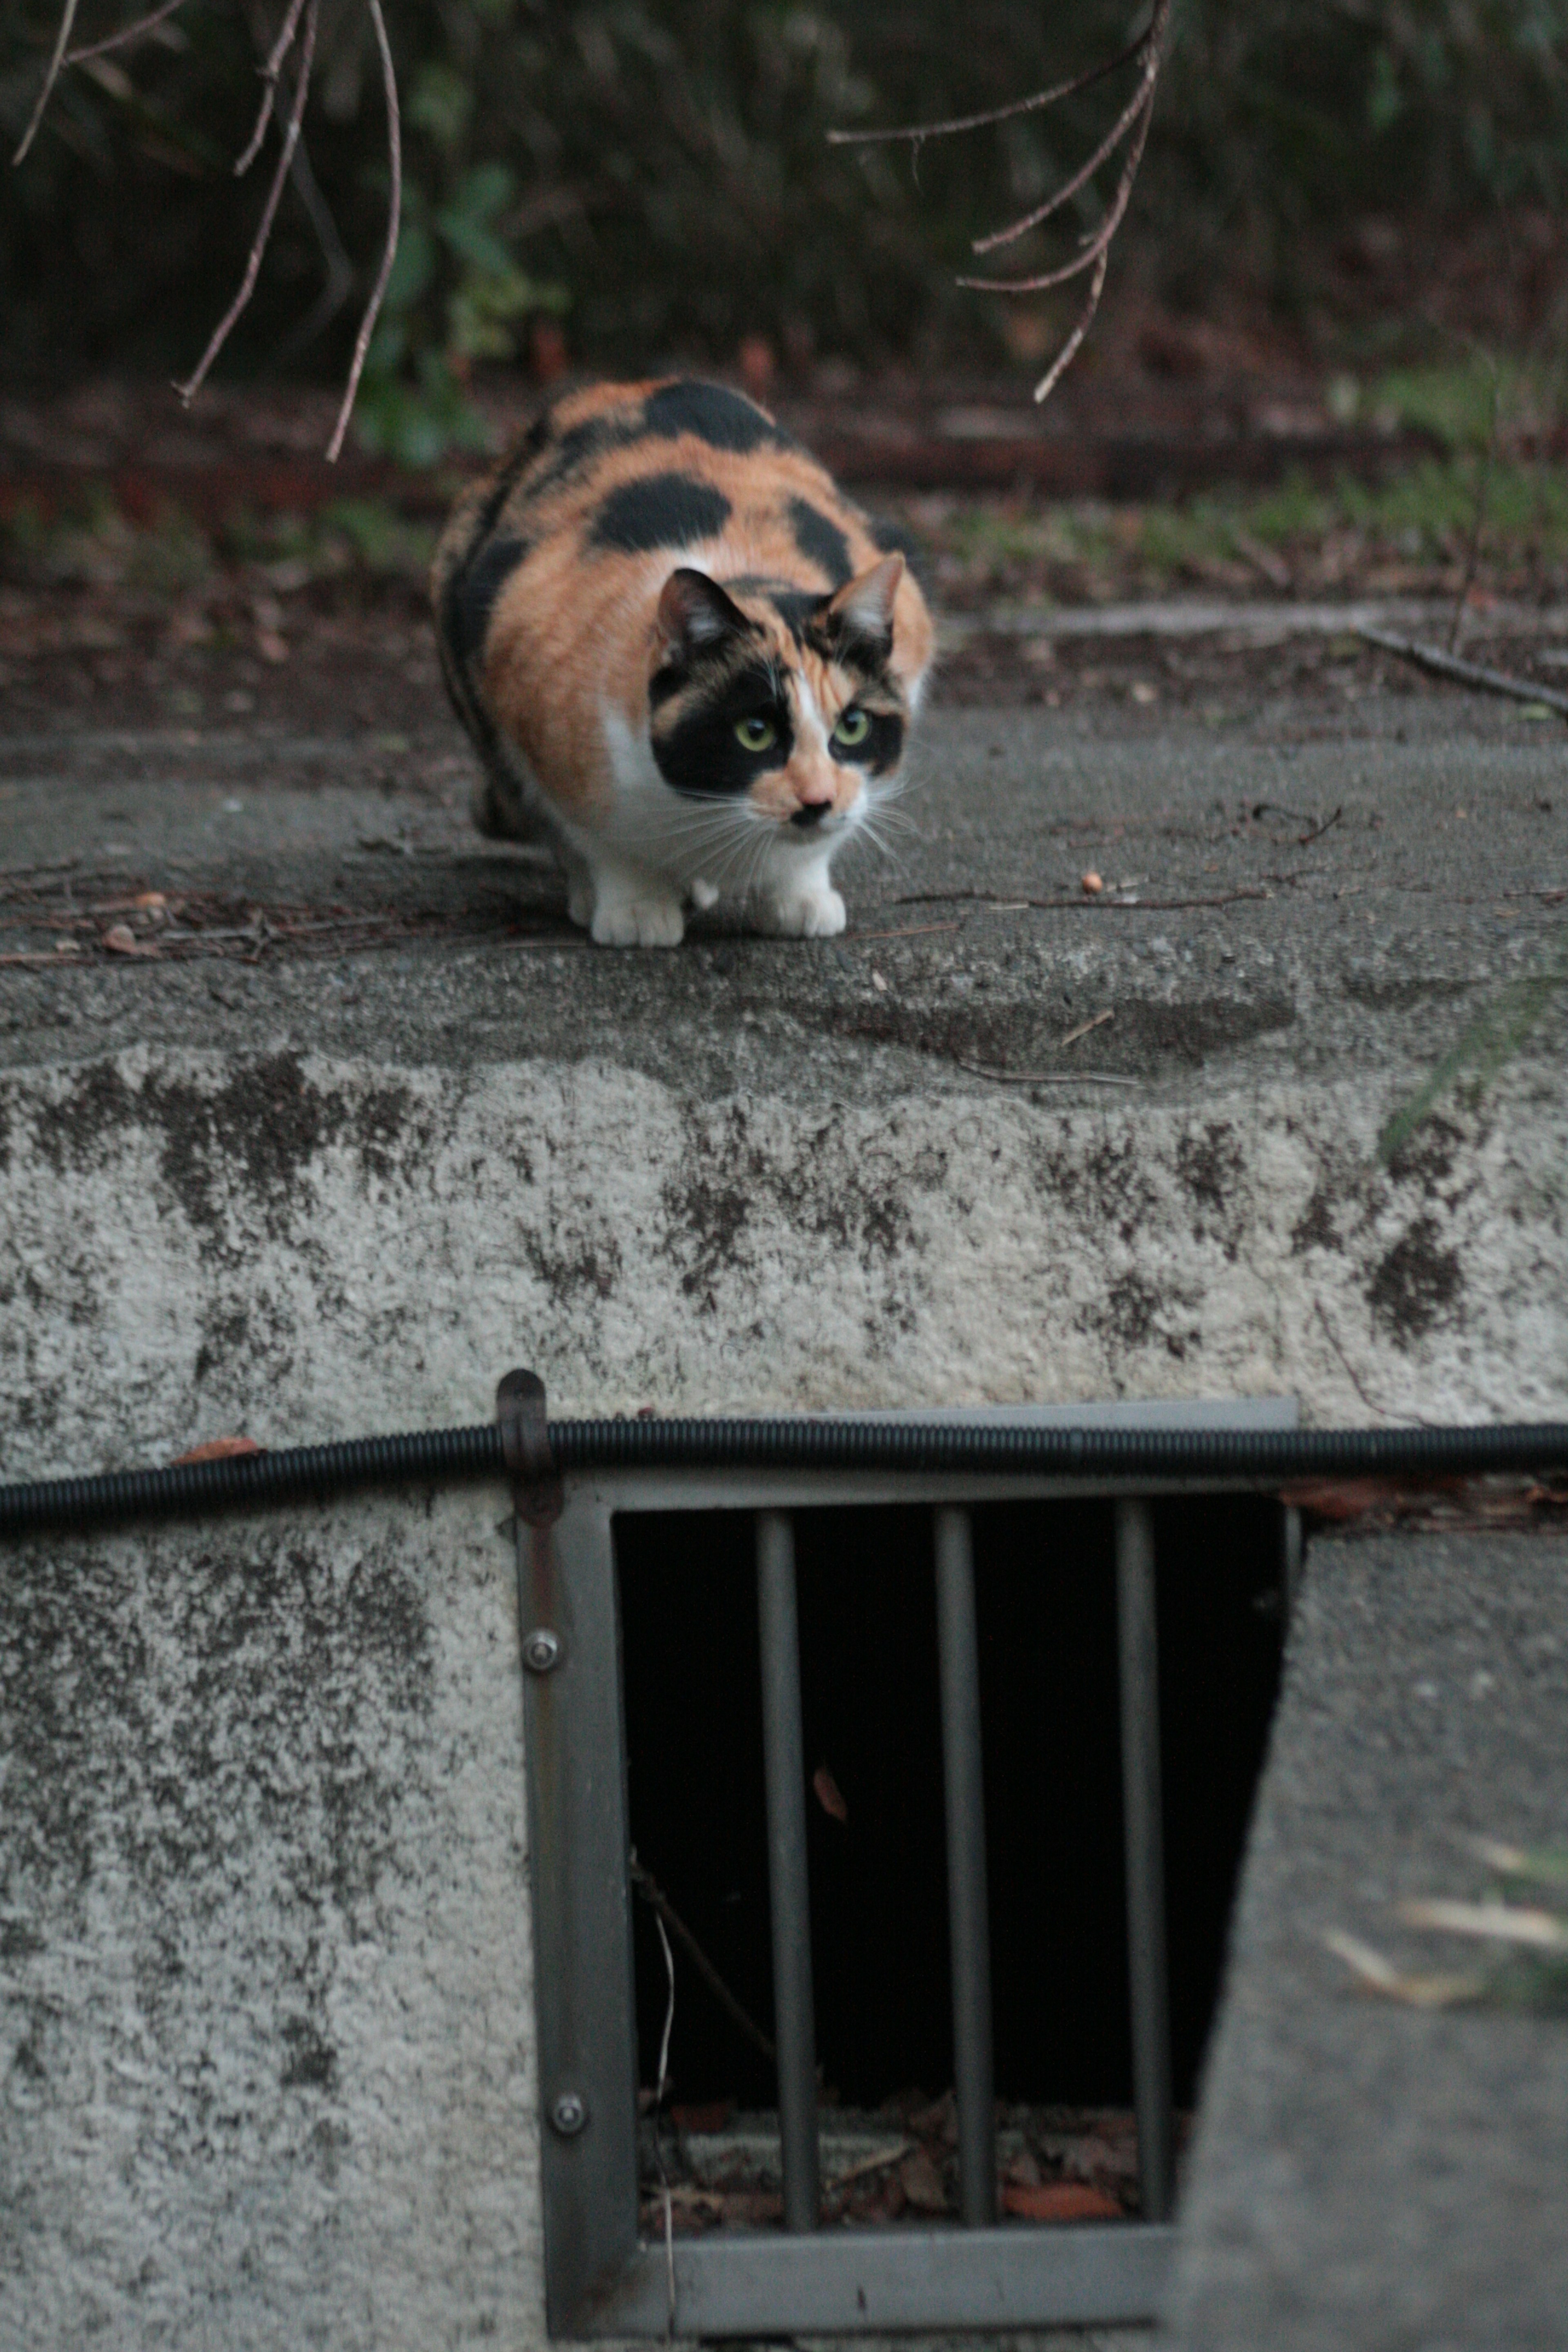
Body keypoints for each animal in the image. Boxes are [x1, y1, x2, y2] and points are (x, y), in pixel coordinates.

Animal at [430, 376, 931, 945]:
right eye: (754, 732)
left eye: (852, 727)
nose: (818, 799)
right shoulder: (539, 708)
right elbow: (596, 840)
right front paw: (637, 910)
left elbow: (818, 845)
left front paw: (799, 899)